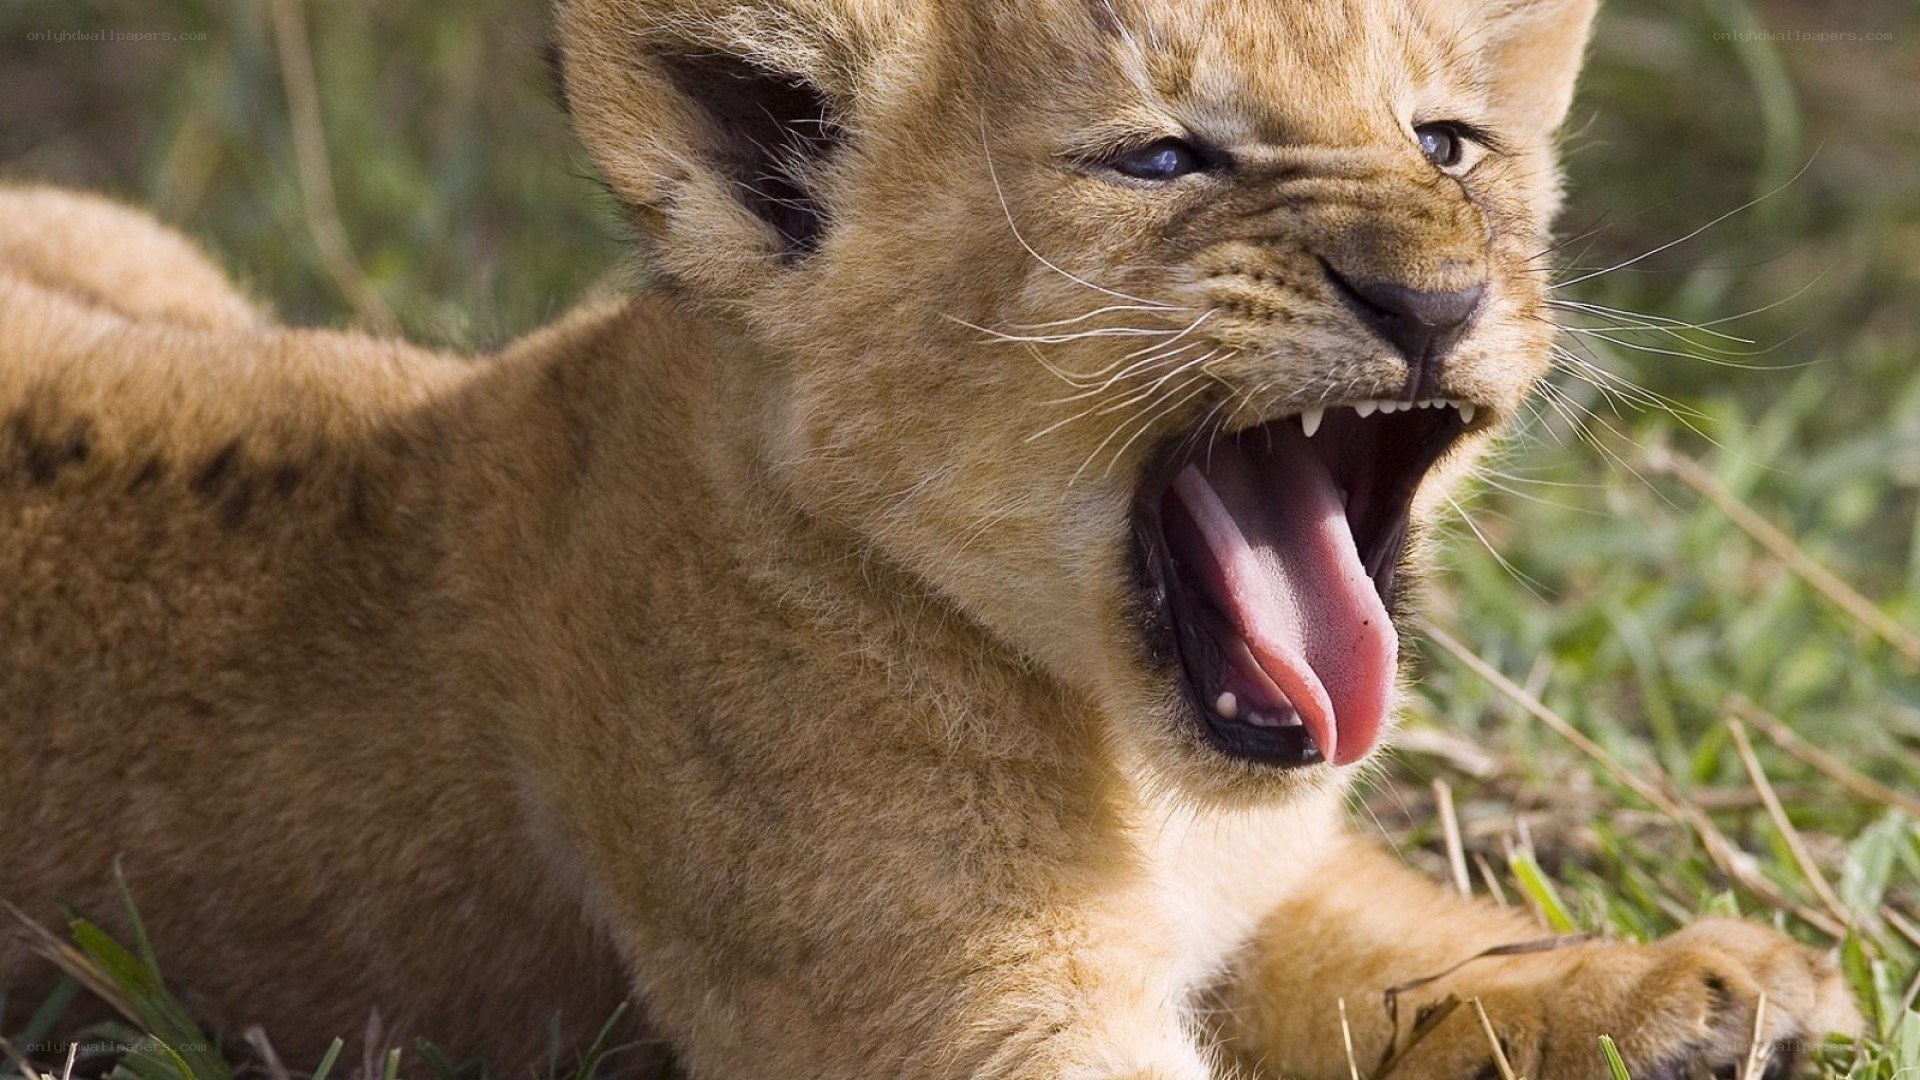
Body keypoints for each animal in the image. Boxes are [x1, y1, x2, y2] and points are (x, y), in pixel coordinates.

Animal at [0, 1, 1862, 1077]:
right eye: (1162, 160)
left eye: (1445, 145)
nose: (1432, 298)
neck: (1135, 762)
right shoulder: (959, 1018)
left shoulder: (1271, 883)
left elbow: (1419, 945)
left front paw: (1700, 991)